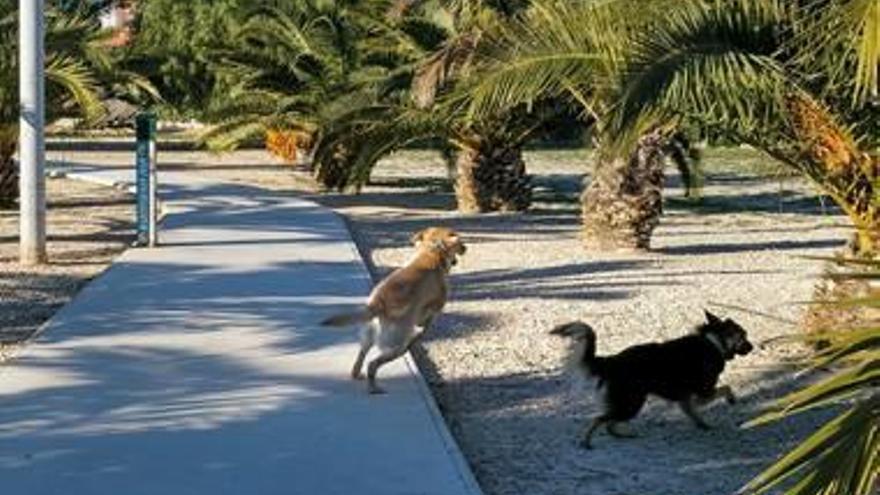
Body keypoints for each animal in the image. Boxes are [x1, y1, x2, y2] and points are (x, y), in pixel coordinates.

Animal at [324, 228, 468, 396]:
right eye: (460, 243)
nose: (466, 248)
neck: (431, 251)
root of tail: (378, 303)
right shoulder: (432, 309)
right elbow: (426, 322)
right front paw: (420, 331)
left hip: (369, 336)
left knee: (362, 355)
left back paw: (357, 374)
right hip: (398, 346)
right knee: (372, 364)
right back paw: (373, 387)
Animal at [552, 312, 748, 452]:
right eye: (744, 337)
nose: (752, 346)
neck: (714, 342)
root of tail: (612, 360)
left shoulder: (685, 398)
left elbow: (693, 412)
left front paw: (703, 424)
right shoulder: (704, 392)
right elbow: (725, 388)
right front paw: (731, 399)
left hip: (628, 404)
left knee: (608, 423)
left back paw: (621, 436)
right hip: (632, 403)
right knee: (600, 419)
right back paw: (587, 441)